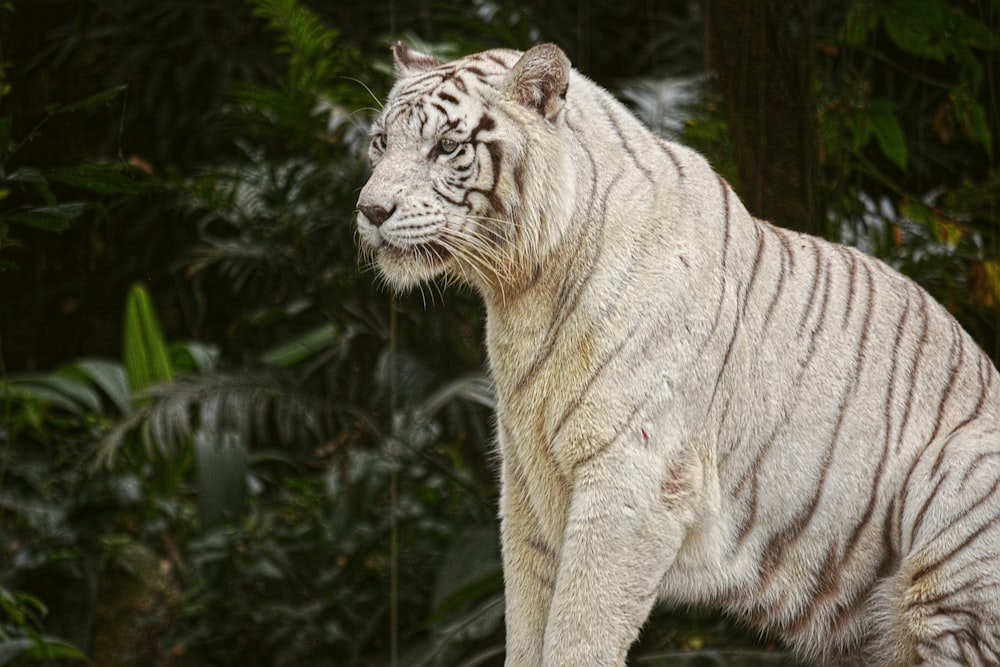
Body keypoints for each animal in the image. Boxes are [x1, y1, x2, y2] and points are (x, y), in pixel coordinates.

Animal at [356, 43, 1000, 667]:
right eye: (381, 142)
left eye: (446, 146)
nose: (371, 210)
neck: (523, 291)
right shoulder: (527, 484)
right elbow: (529, 622)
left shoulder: (633, 476)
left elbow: (579, 629)